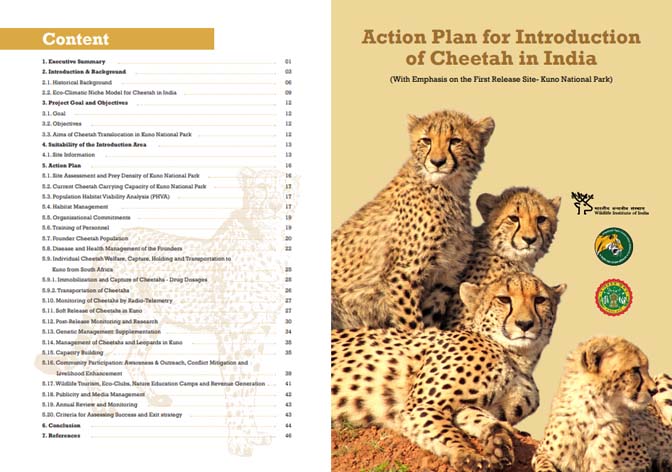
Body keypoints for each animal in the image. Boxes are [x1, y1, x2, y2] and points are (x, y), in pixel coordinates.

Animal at [331, 110, 496, 330]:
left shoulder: (444, 278)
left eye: (455, 141)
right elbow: (412, 327)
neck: (448, 190)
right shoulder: (403, 275)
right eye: (426, 140)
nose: (437, 162)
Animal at [331, 271, 566, 471]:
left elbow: (480, 417)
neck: (518, 359)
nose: (525, 324)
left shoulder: (468, 407)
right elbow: (445, 430)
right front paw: (468, 455)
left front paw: (498, 441)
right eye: (504, 299)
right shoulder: (422, 406)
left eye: (540, 300)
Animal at [533, 336, 672, 472]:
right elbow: (544, 465)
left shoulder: (640, 463)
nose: (653, 390)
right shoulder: (541, 452)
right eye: (635, 369)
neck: (591, 411)